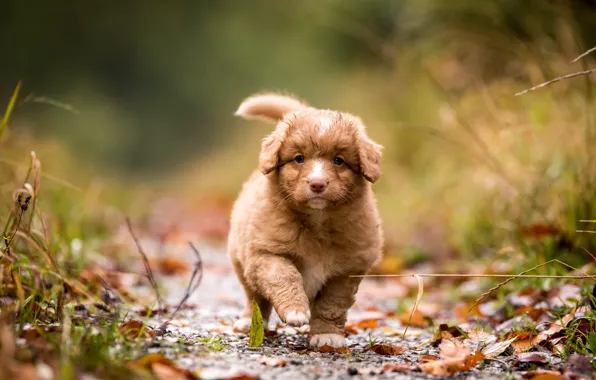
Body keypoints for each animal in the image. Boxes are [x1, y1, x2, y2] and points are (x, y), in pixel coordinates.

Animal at [226, 93, 384, 348]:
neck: (317, 221)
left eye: (339, 161)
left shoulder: (347, 270)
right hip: (241, 261)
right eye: (298, 159)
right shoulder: (265, 254)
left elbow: (332, 304)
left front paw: (327, 335)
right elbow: (285, 276)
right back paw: (248, 322)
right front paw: (295, 310)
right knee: (254, 297)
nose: (317, 184)